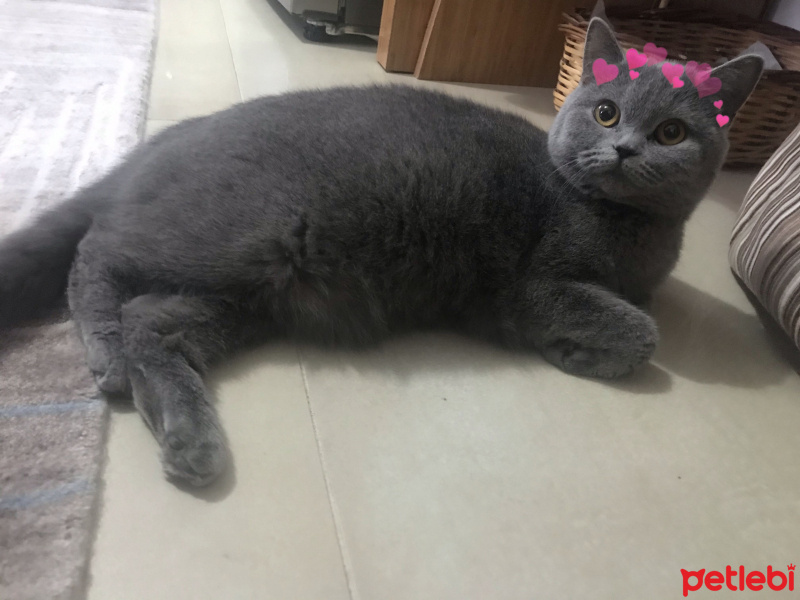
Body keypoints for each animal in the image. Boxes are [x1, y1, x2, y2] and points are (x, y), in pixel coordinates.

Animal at [0, 18, 764, 486]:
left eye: (671, 132)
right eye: (606, 112)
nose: (627, 148)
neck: (629, 228)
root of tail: (166, 137)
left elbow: (639, 320)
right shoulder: (539, 287)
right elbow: (641, 331)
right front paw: (581, 352)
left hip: (252, 295)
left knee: (151, 323)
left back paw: (186, 438)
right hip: (226, 240)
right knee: (97, 252)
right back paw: (107, 358)